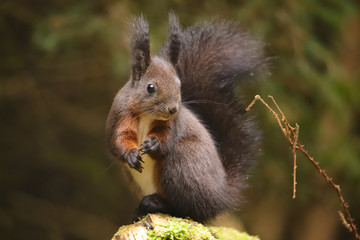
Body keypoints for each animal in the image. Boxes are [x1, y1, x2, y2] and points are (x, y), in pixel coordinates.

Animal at [105, 13, 266, 222]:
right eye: (150, 87)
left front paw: (154, 144)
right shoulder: (120, 115)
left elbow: (166, 140)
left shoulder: (173, 124)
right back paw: (140, 210)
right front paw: (130, 154)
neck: (148, 115)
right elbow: (118, 139)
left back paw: (157, 203)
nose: (173, 108)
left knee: (188, 209)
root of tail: (221, 194)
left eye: (179, 85)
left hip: (183, 165)